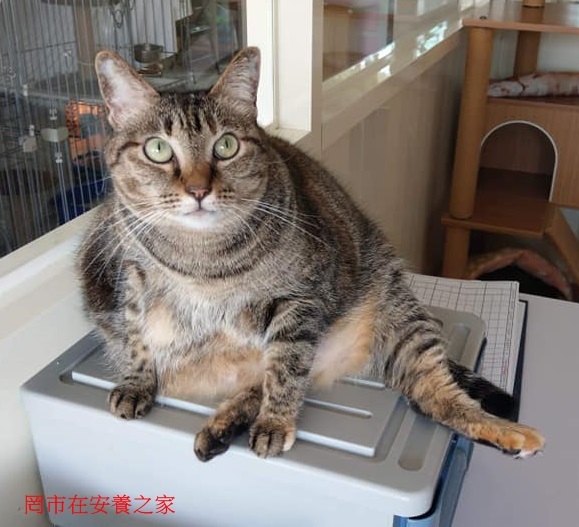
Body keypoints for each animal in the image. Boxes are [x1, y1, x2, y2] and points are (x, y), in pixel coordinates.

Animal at [78, 47, 545, 462]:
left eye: (226, 146)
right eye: (157, 149)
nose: (197, 190)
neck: (203, 260)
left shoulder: (301, 301)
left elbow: (285, 370)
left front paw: (275, 422)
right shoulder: (129, 277)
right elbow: (137, 336)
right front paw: (137, 382)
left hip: (399, 319)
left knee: (434, 394)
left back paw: (510, 434)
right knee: (259, 383)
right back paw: (221, 427)